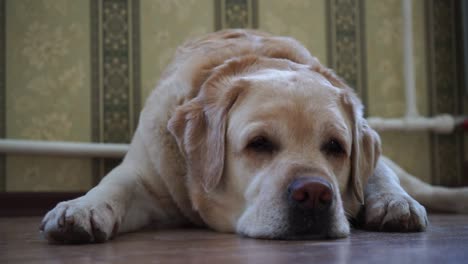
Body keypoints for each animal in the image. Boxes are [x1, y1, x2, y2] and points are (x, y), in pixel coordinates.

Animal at [40, 29, 468, 243]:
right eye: (259, 144)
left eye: (335, 147)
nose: (315, 194)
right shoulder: (146, 174)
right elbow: (113, 186)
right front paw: (80, 209)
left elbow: (380, 176)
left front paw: (394, 202)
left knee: (410, 182)